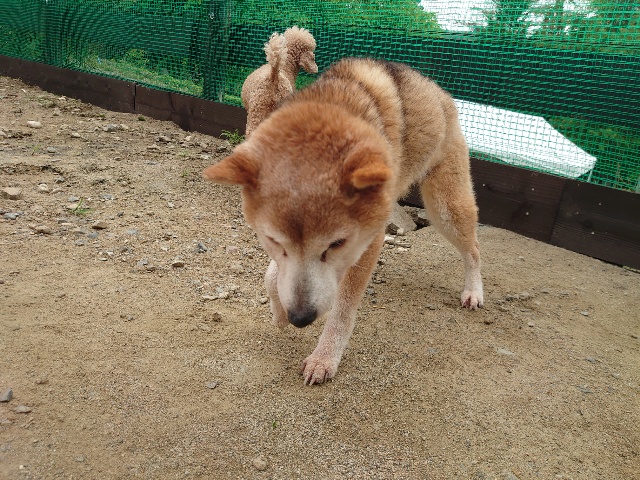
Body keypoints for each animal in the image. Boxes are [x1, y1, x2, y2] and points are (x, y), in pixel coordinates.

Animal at [204, 57, 484, 385]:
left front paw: (324, 358)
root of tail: (439, 90)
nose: (300, 319)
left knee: (473, 250)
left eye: (336, 243)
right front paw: (278, 312)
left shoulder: (368, 243)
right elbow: (273, 275)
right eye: (273, 240)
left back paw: (474, 291)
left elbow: (342, 312)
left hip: (445, 207)